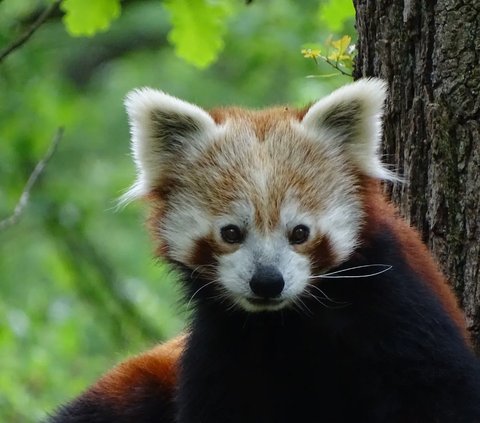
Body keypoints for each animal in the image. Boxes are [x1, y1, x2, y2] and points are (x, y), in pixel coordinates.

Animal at [48, 80, 480, 423]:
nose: (268, 282)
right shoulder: (222, 344)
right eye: (231, 232)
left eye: (300, 232)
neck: (286, 323)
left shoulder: (394, 304)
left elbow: (436, 390)